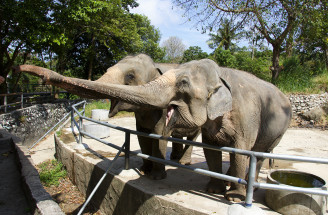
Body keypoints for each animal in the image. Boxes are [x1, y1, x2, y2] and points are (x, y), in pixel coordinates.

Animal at [15, 58, 292, 202]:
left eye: (183, 83)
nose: (21, 68)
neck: (221, 74)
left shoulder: (245, 116)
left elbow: (239, 151)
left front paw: (231, 197)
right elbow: (207, 150)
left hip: (278, 130)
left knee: (259, 154)